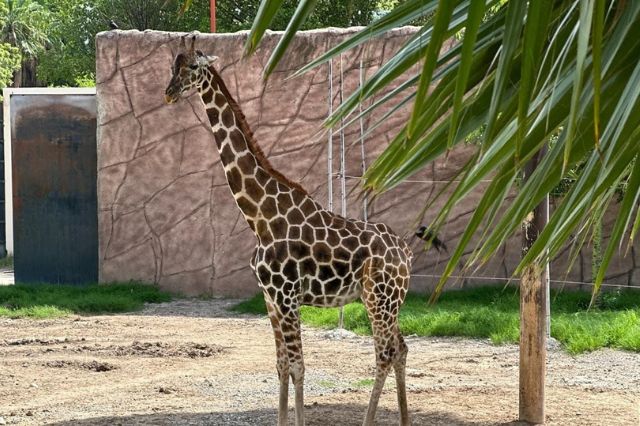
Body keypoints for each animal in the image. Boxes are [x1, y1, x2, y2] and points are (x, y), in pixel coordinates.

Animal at [165, 34, 412, 426]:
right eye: (171, 67)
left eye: (191, 67)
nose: (169, 93)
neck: (260, 218)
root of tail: (406, 253)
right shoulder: (269, 298)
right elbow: (282, 366)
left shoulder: (287, 296)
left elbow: (298, 367)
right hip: (388, 300)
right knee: (400, 348)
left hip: (380, 298)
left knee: (386, 352)